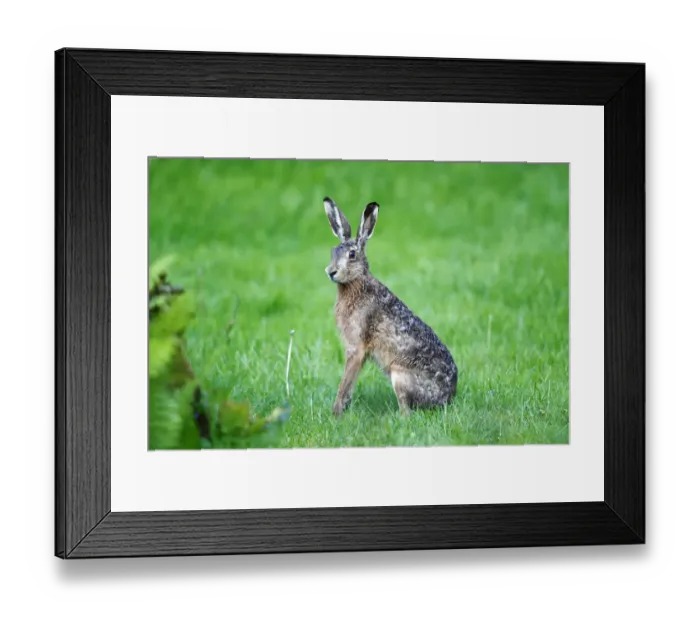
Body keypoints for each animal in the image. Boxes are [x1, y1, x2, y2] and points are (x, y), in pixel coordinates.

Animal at [323, 197, 458, 417]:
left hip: (399, 376)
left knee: (406, 412)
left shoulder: (356, 348)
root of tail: (447, 399)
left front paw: (336, 413)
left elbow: (345, 382)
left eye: (352, 255)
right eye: (332, 251)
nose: (331, 272)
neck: (356, 283)